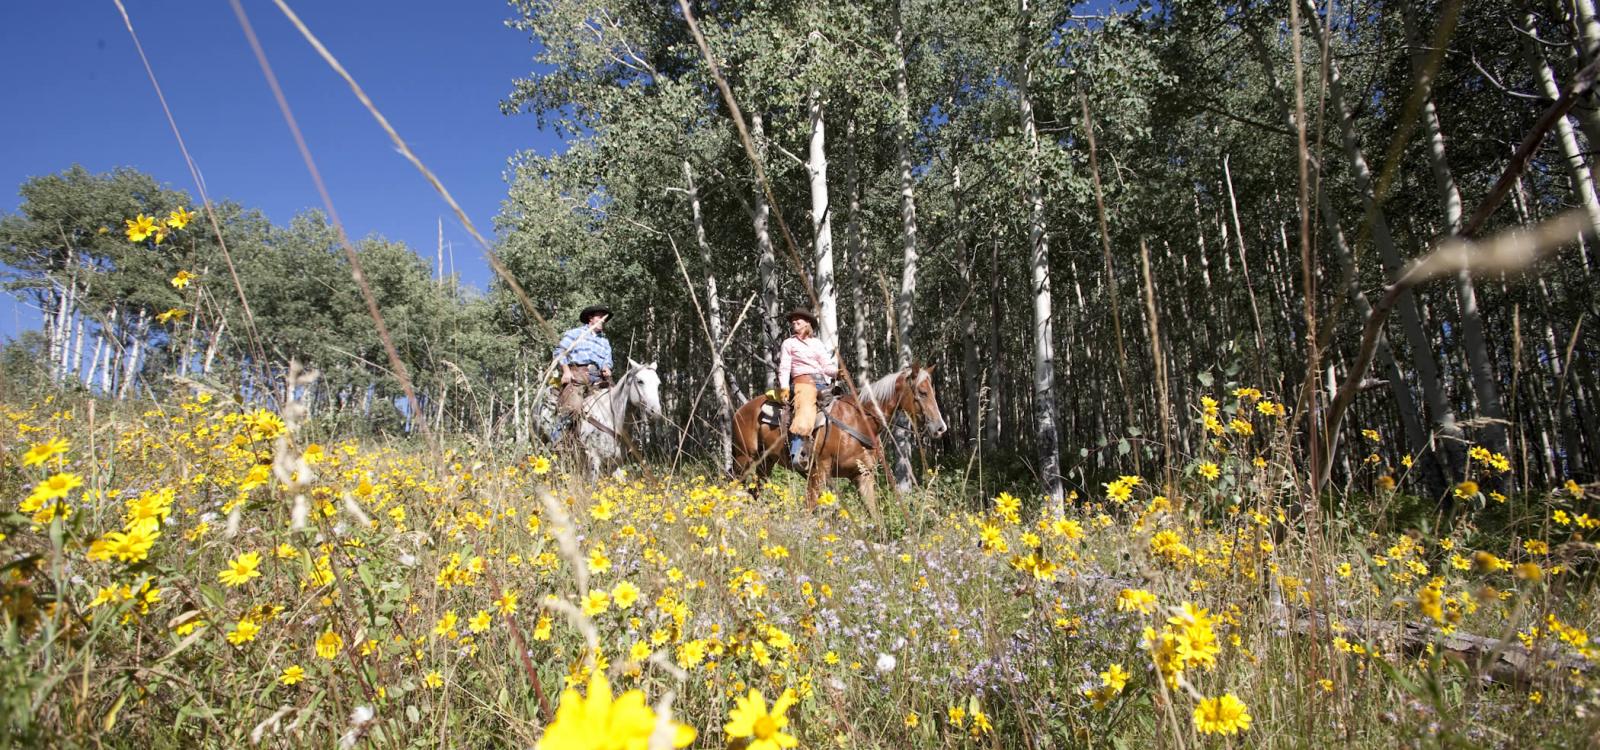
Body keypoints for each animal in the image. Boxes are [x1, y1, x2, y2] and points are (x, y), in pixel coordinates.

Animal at [736, 364, 947, 505]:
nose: (940, 428)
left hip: (765, 463)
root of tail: (740, 411)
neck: (859, 420)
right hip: (742, 460)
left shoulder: (863, 476)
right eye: (922, 392)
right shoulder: (818, 472)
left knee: (754, 492)